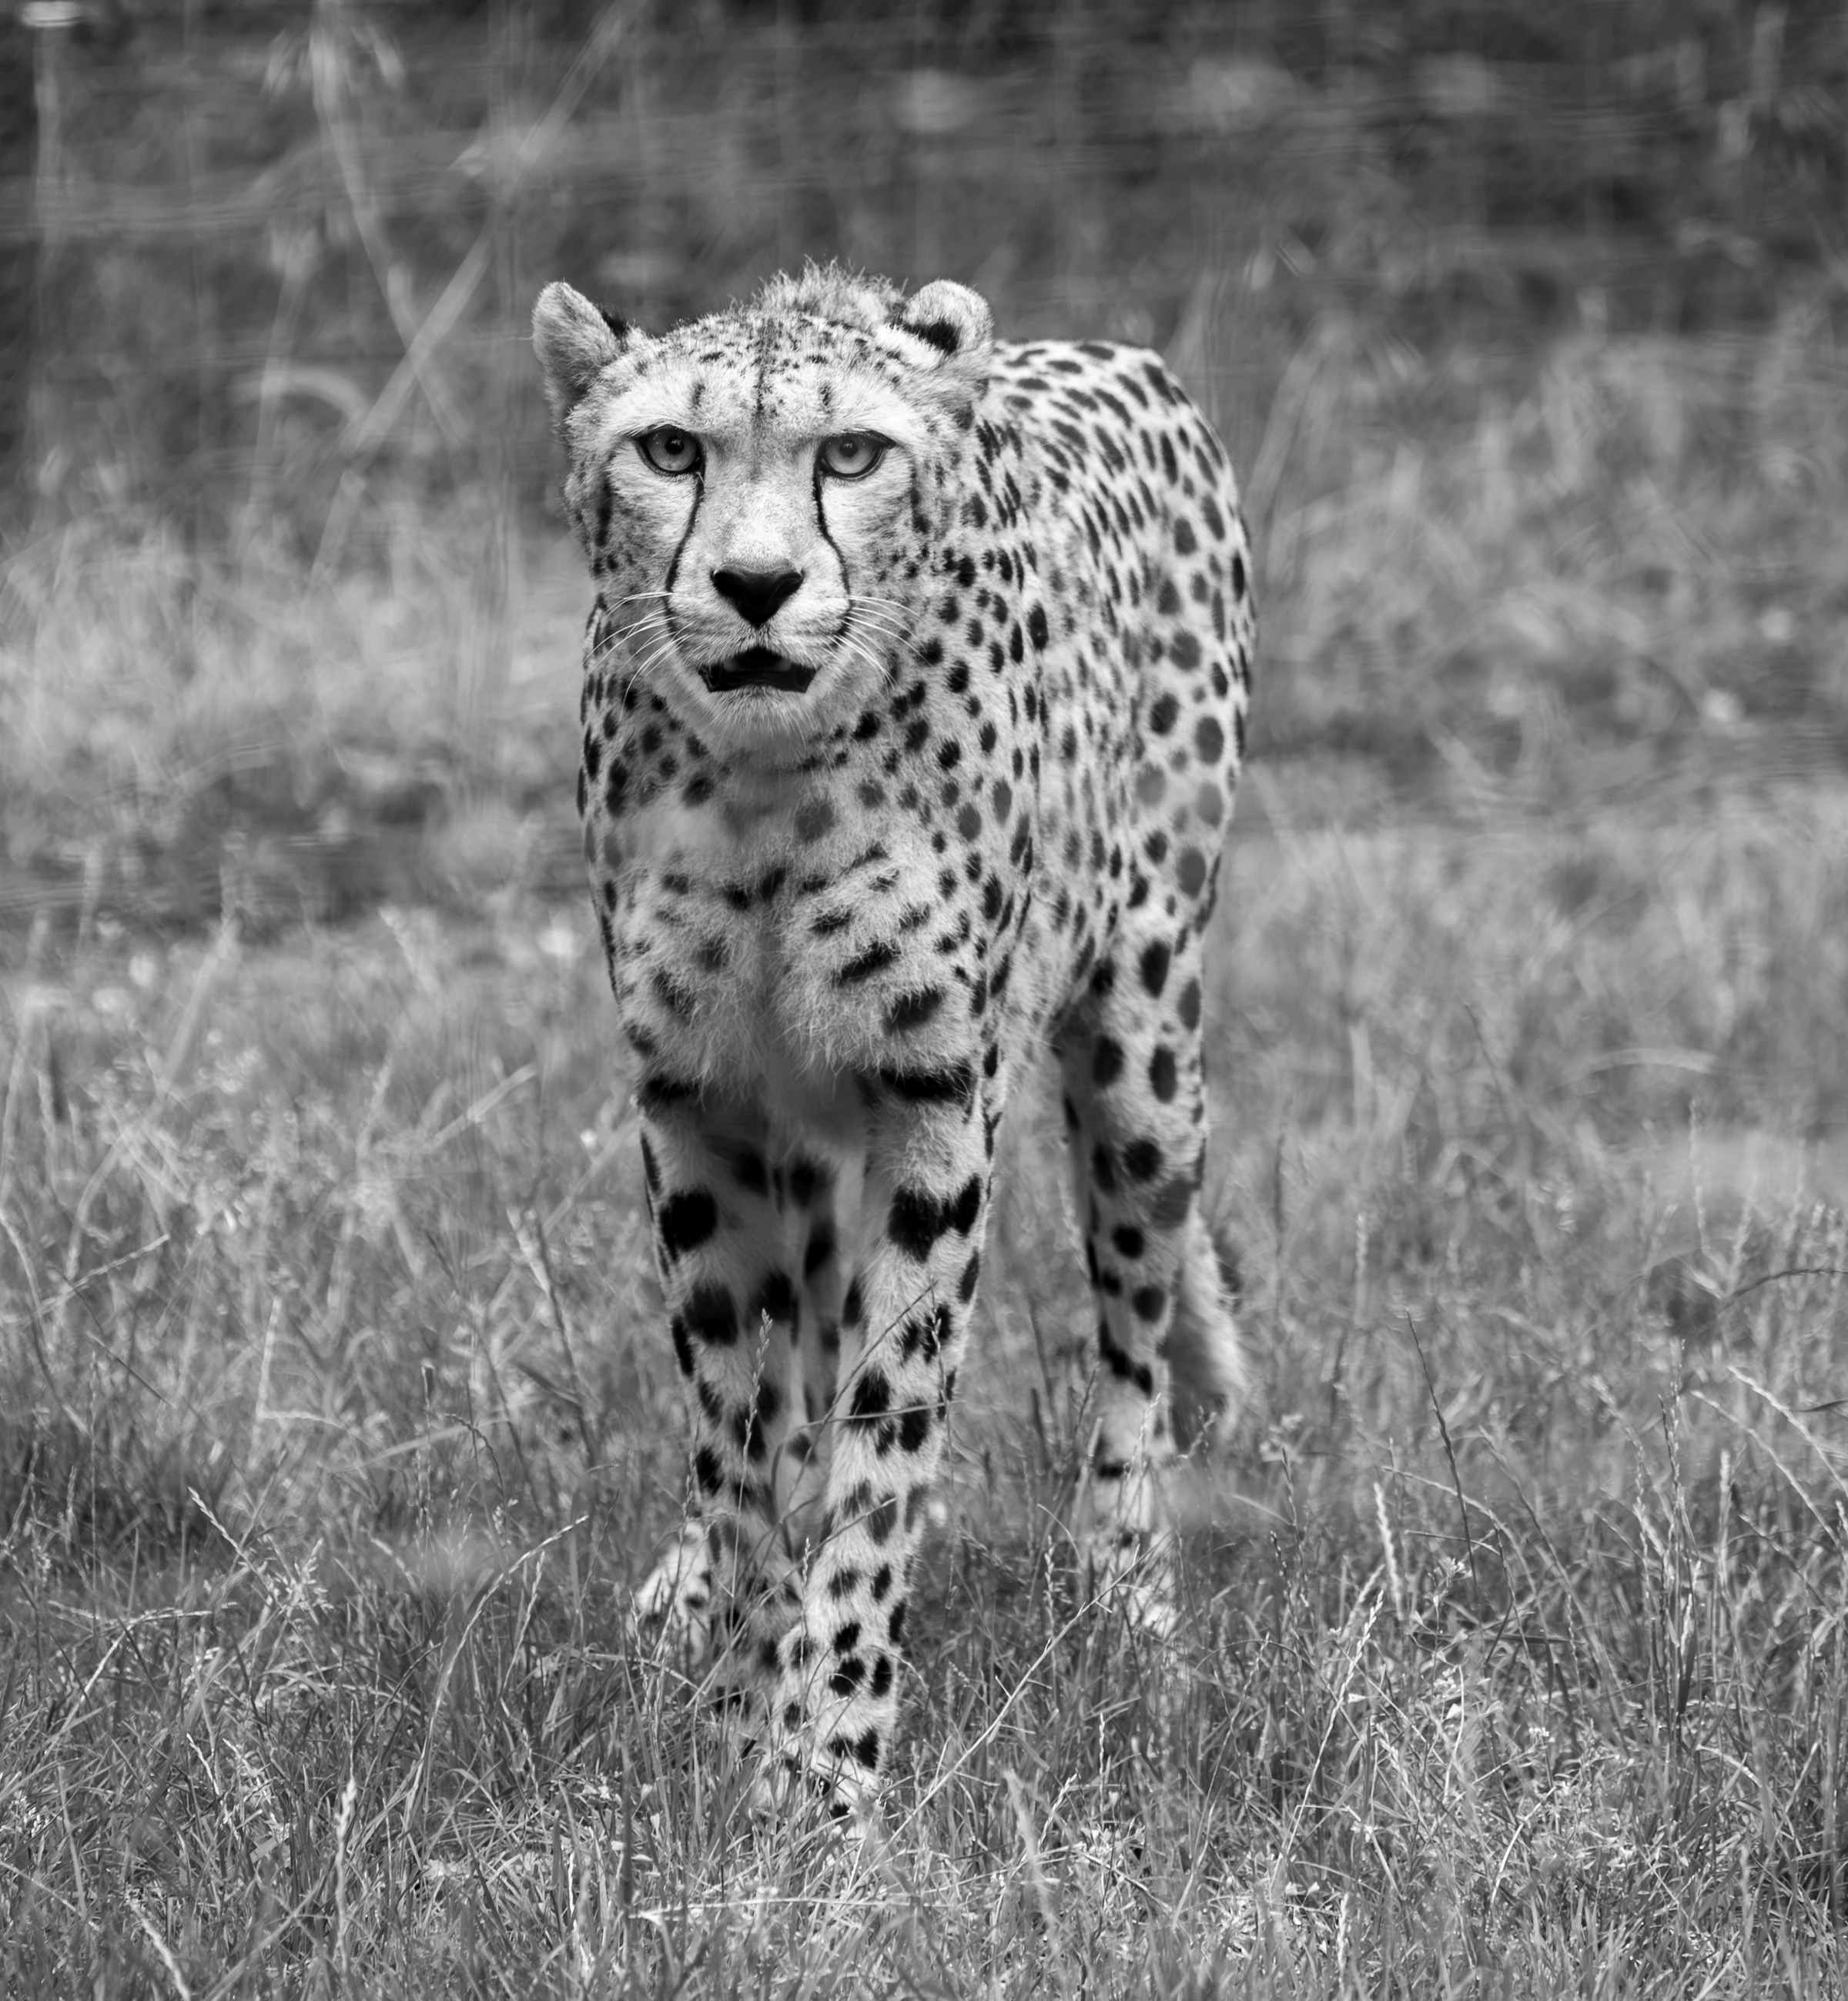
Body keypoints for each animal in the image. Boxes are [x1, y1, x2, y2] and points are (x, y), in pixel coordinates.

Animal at [532, 263, 1256, 1812]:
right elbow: (738, 1427)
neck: (766, 778)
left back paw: (1126, 1589)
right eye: (669, 448)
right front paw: (738, 1706)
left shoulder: (935, 1105)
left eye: (851, 455)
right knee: (804, 1359)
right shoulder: (695, 1105)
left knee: (1135, 1332)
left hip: (1143, 1033)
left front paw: (833, 1763)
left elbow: (891, 1438)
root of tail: (1107, 350)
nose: (755, 587)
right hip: (811, 1140)